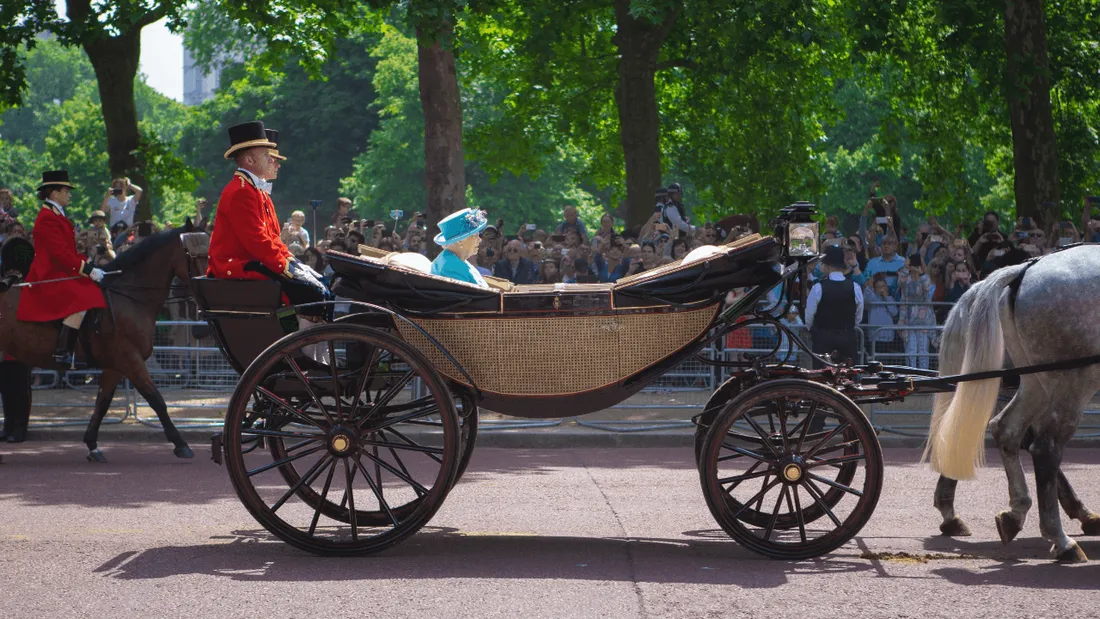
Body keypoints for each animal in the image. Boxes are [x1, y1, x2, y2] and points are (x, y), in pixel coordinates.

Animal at [0, 223, 198, 459]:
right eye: (196, 253)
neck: (127, 297)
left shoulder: (115, 366)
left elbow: (102, 403)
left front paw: (92, 444)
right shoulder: (130, 360)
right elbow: (156, 399)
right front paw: (181, 444)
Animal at [924, 245, 1100, 562]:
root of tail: (1024, 270)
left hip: (1036, 382)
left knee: (1006, 430)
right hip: (1072, 381)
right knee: (1044, 447)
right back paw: (1062, 539)